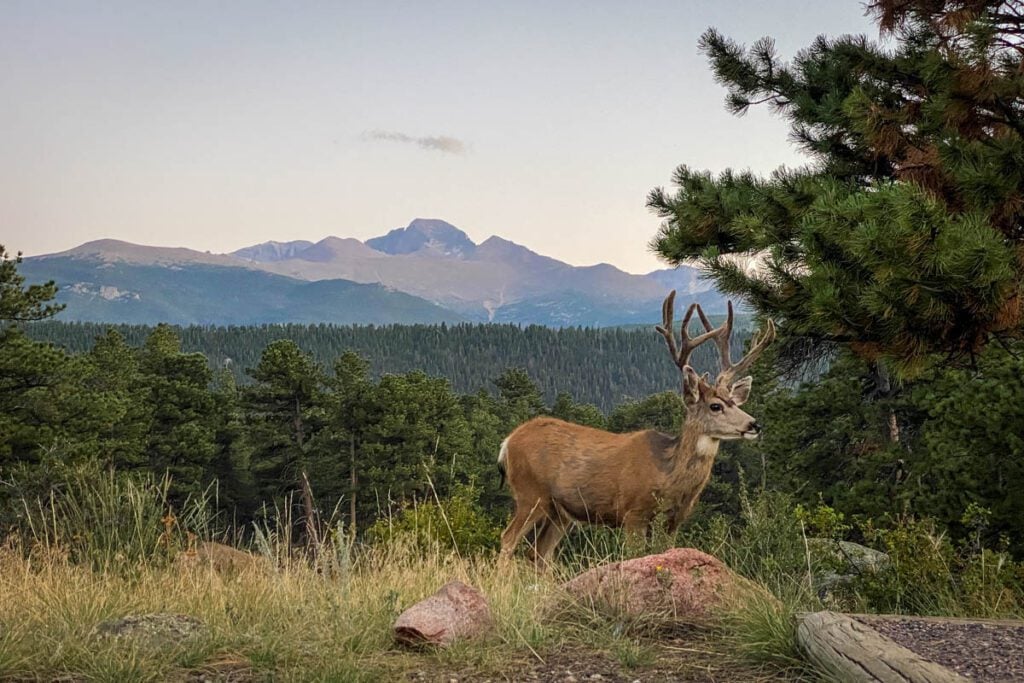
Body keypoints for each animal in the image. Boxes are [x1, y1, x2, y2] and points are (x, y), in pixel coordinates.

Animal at [497, 290, 774, 565]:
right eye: (715, 406)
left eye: (734, 402)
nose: (754, 424)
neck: (667, 475)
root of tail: (507, 442)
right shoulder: (634, 512)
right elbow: (636, 555)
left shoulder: (673, 521)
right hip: (530, 492)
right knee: (508, 539)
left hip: (560, 511)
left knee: (539, 552)